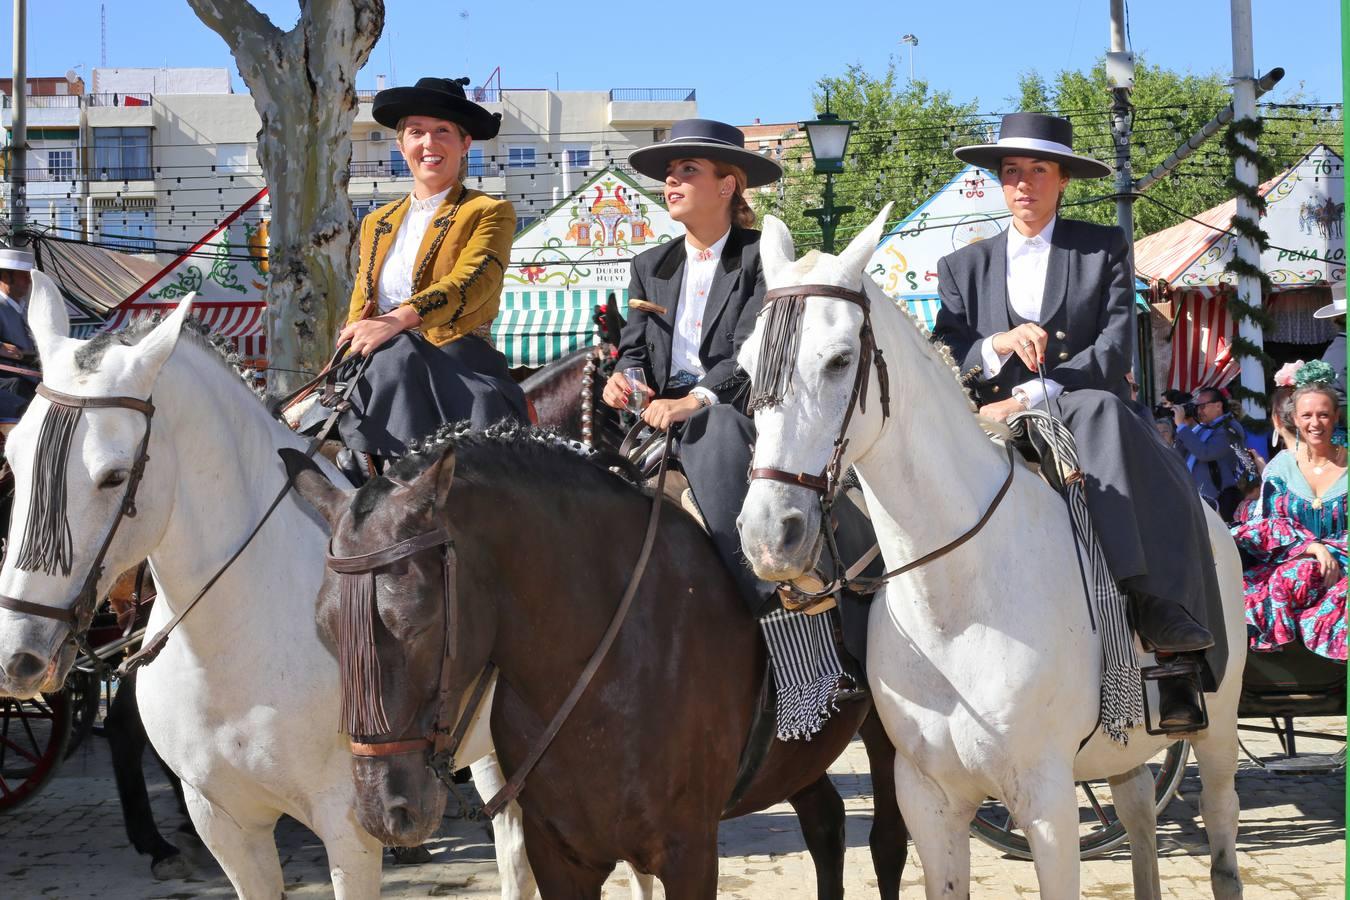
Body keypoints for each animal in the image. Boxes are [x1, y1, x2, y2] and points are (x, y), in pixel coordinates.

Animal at [0, 277, 553, 900]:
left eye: (114, 476)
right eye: (12, 459)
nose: (19, 654)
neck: (235, 634)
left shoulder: (350, 826)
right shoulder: (223, 822)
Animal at [290, 423, 912, 900]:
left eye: (415, 621)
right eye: (323, 628)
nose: (384, 813)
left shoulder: (689, 852)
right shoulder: (561, 857)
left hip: (885, 737)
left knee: (886, 842)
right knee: (825, 823)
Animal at [739, 213, 1242, 900]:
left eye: (840, 360)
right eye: (744, 366)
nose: (770, 535)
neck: (955, 604)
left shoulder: (1048, 805)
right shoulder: (927, 799)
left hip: (1217, 728)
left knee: (1221, 840)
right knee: (1138, 811)